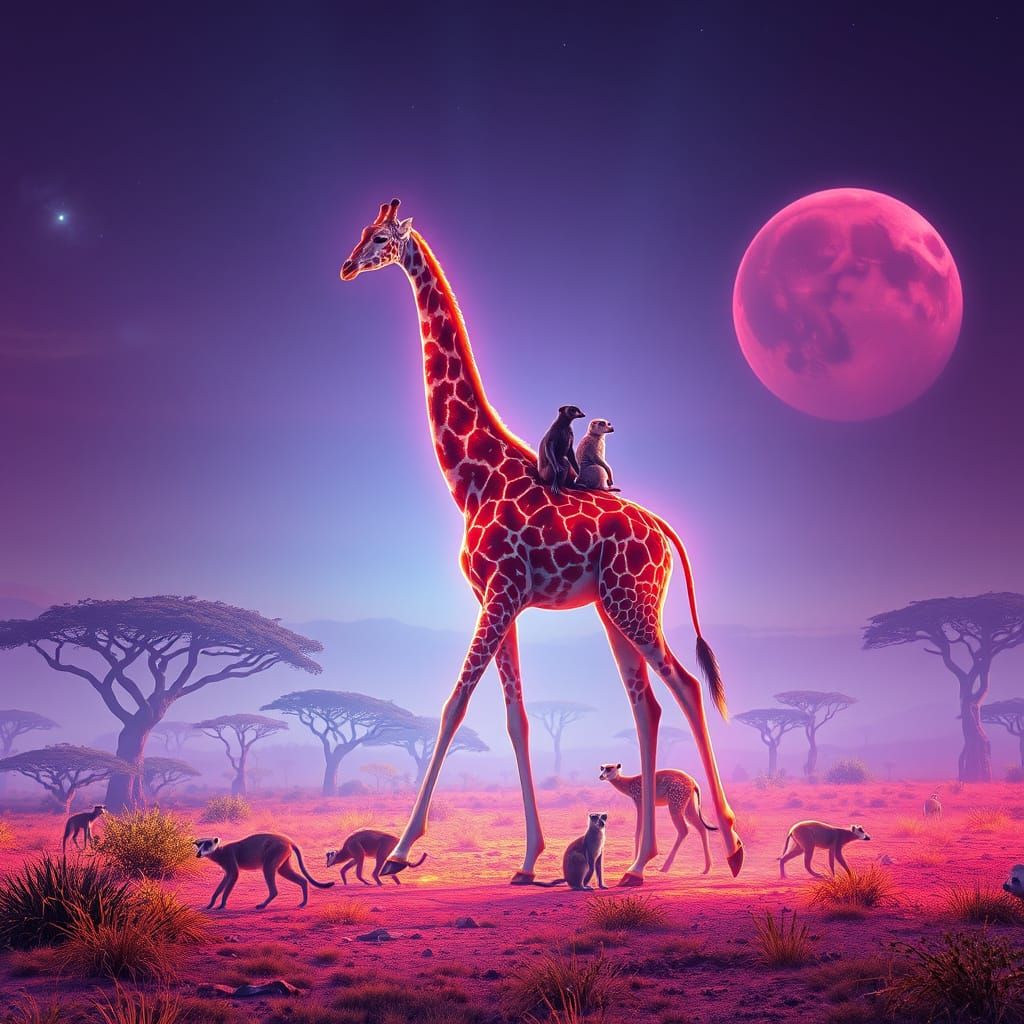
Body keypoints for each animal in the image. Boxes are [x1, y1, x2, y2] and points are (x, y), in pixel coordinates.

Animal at [338, 199, 744, 885]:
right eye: (364, 232)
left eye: (382, 238)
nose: (345, 265)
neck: (471, 476)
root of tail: (667, 534)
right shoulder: (497, 599)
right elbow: (516, 719)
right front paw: (530, 859)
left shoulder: (500, 593)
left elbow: (453, 706)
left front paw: (398, 850)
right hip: (612, 610)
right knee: (648, 705)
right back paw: (637, 862)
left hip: (634, 605)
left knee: (687, 688)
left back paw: (734, 847)